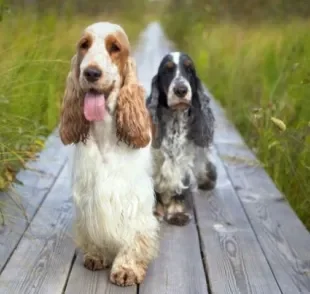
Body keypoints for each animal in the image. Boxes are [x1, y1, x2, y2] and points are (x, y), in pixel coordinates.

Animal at [59, 22, 159, 288]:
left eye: (115, 47)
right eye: (84, 45)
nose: (91, 73)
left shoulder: (134, 199)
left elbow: (134, 237)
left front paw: (126, 269)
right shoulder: (88, 196)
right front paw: (97, 254)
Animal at [146, 51, 217, 225]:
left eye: (190, 70)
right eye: (167, 70)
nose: (181, 90)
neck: (175, 124)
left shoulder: (183, 161)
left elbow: (180, 186)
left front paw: (177, 213)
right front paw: (155, 211)